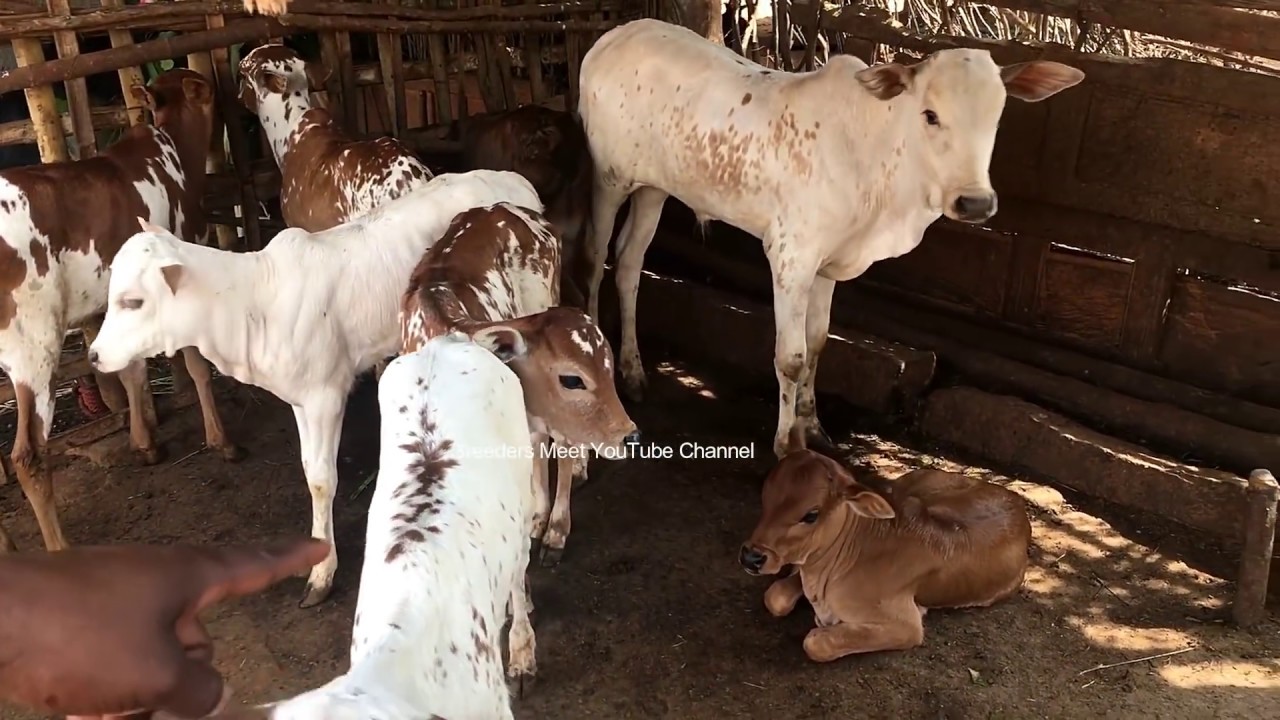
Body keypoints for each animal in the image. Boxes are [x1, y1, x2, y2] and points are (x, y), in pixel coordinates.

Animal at [576, 18, 1085, 458]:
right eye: (931, 115)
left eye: (997, 118)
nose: (975, 202)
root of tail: (613, 36)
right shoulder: (791, 257)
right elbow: (792, 356)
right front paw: (788, 444)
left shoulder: (828, 265)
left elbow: (819, 343)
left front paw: (814, 426)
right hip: (608, 178)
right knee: (595, 257)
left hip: (653, 188)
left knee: (629, 264)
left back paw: (633, 371)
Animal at [739, 449, 1032, 662]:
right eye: (766, 496)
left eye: (811, 515)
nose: (751, 557)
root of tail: (1016, 499)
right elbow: (776, 596)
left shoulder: (907, 626)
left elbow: (816, 642)